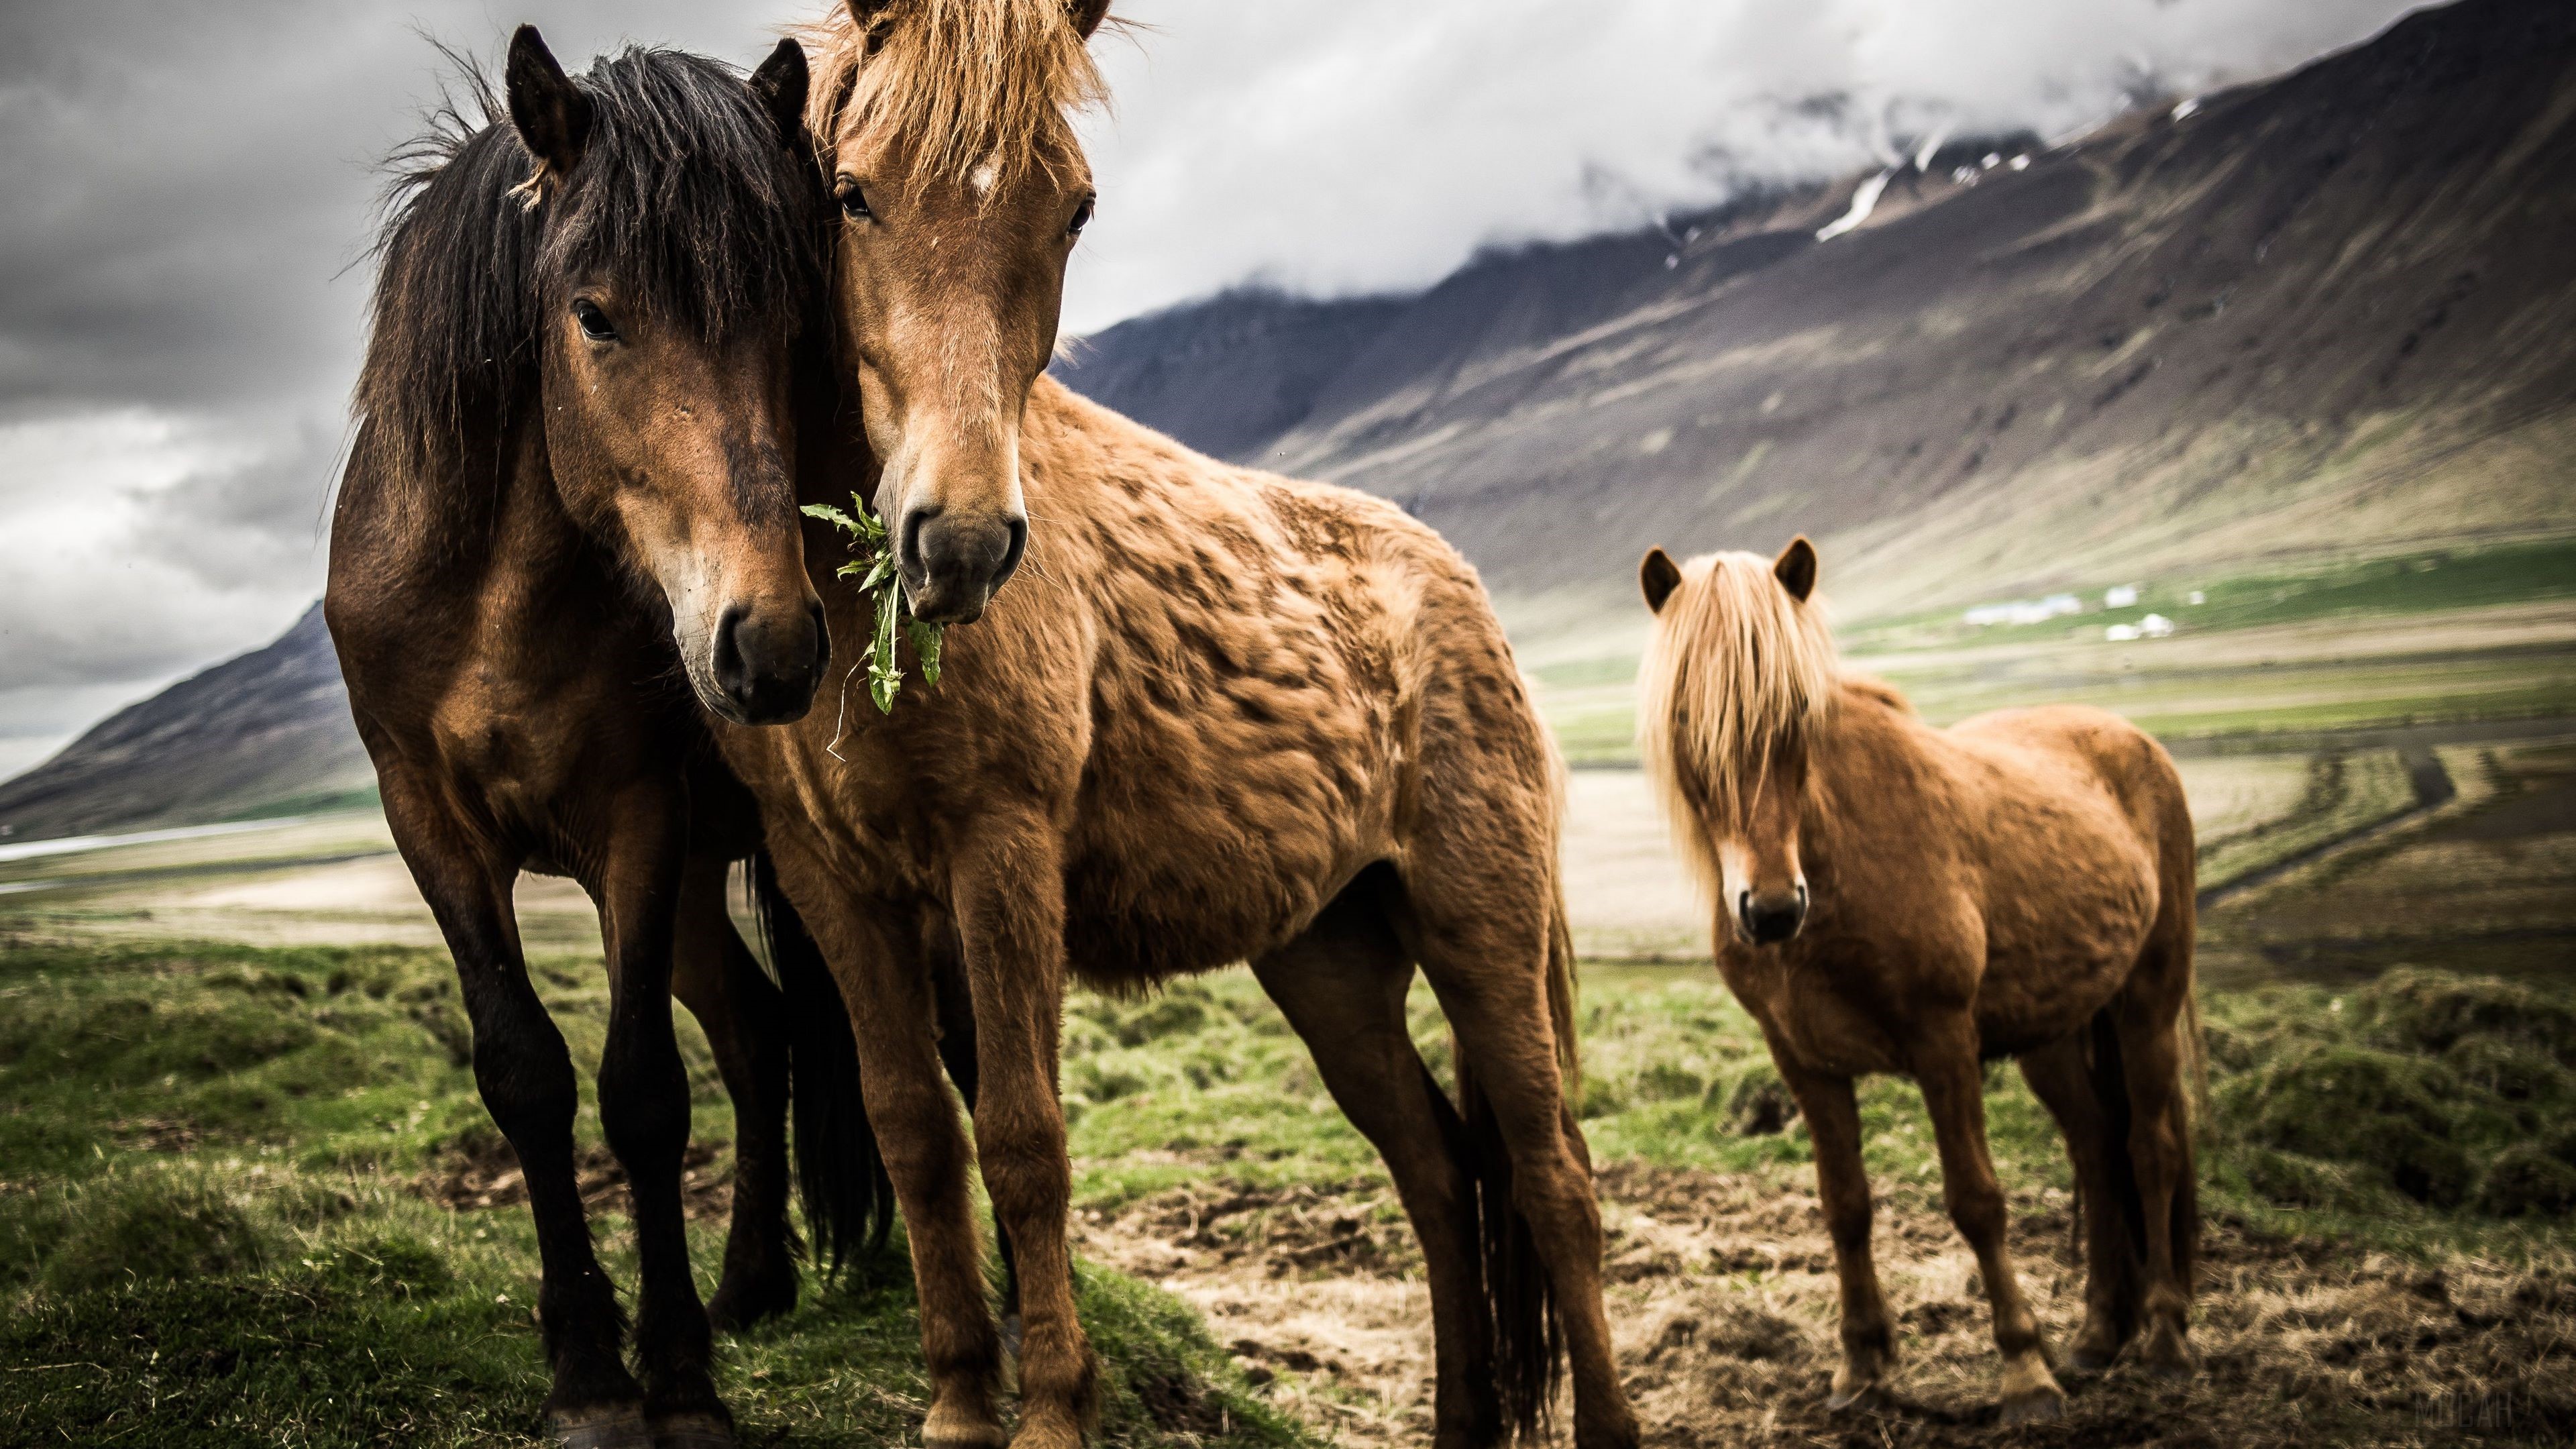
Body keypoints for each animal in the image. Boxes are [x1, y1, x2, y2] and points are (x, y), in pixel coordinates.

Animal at [327, 32, 898, 1449]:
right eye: (595, 315)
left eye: (787, 319)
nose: (774, 646)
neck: (490, 603)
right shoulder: (433, 828)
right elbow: (527, 1074)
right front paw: (591, 1371)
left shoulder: (634, 822)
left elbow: (643, 1093)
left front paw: (679, 1380)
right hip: (699, 885)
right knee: (760, 1033)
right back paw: (756, 1283)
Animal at [695, 4, 1643, 1447]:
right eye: (849, 194)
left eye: (1076, 209)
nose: (958, 545)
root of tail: (1453, 583)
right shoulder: (832, 881)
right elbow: (914, 1131)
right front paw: (959, 1402)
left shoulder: (1003, 858)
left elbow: (1024, 1140)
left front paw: (1051, 1409)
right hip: (1330, 955)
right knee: (1437, 1170)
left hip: (1483, 930)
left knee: (1551, 1181)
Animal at [1634, 537, 2203, 1424]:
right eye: (1689, 719)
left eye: (1798, 718)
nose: (1771, 911)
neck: (1836, 864)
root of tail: (2135, 742)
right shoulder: (1804, 1063)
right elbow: (1845, 1206)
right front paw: (1862, 1366)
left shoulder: (1944, 1043)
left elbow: (1977, 1200)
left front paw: (2023, 1373)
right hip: (2052, 1034)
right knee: (2094, 1146)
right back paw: (2096, 1336)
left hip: (2147, 1000)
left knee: (2151, 1147)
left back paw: (2165, 1336)